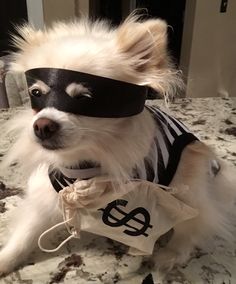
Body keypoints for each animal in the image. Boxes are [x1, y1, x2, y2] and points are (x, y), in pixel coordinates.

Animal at [0, 15, 236, 276]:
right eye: (36, 93)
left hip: (188, 186)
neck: (84, 163)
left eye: (84, 99)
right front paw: (5, 260)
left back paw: (172, 254)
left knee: (194, 225)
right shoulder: (48, 196)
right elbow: (26, 234)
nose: (42, 126)